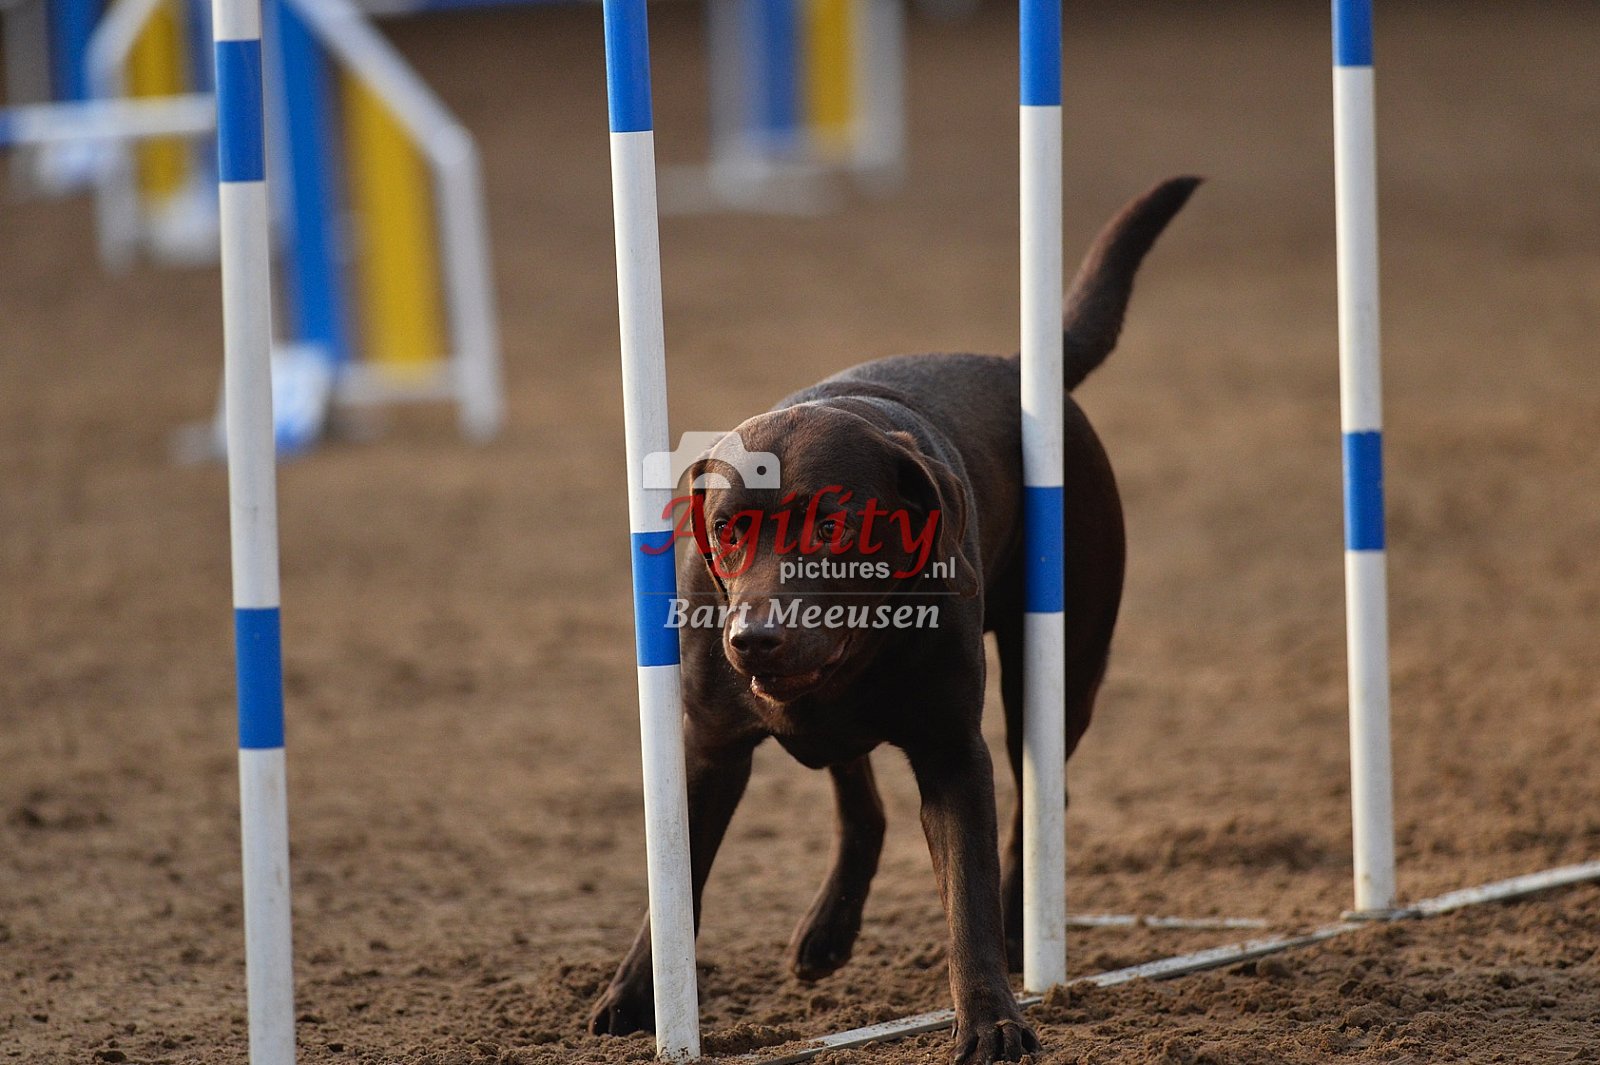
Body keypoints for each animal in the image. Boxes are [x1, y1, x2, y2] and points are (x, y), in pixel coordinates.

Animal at [589, 176, 1200, 1064]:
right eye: (729, 530)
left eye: (836, 528)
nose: (753, 638)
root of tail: (1014, 364)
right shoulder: (709, 749)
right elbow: (681, 875)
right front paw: (635, 993)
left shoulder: (951, 750)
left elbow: (965, 898)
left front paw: (992, 1019)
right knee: (860, 800)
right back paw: (828, 931)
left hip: (1061, 666)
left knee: (1035, 798)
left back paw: (1018, 929)